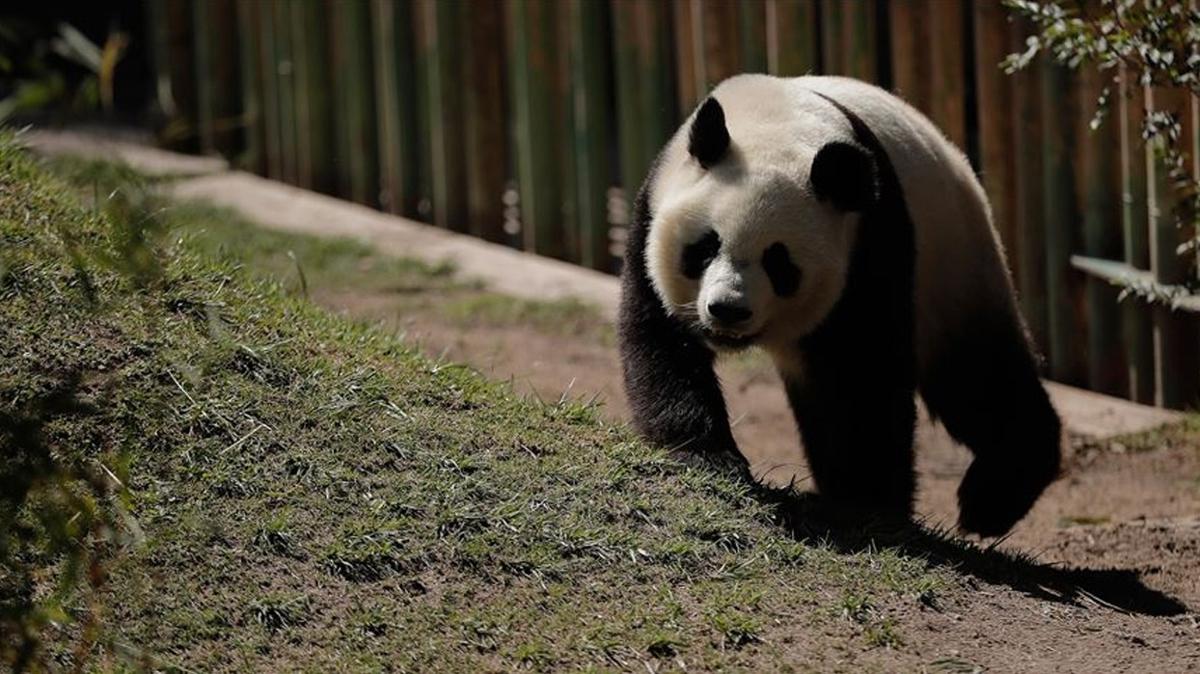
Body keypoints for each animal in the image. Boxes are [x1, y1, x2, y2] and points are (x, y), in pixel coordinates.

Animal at [619, 74, 1060, 534]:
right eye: (705, 247)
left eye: (779, 262)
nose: (728, 309)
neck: (774, 119)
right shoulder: (653, 214)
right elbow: (662, 344)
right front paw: (708, 456)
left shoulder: (870, 241)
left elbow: (864, 373)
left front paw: (871, 503)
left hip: (954, 267)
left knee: (978, 379)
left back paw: (991, 500)